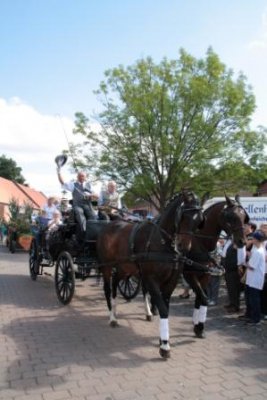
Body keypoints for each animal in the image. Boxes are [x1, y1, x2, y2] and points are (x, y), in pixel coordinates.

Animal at [97, 189, 204, 358]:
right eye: (183, 216)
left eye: (199, 219)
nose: (183, 247)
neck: (161, 241)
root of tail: (110, 224)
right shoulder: (151, 279)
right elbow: (162, 308)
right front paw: (165, 346)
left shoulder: (171, 281)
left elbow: (165, 308)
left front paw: (162, 340)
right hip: (106, 267)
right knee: (108, 289)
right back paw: (112, 318)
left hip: (124, 268)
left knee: (115, 285)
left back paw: (115, 310)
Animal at [183, 195, 250, 340]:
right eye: (231, 216)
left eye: (244, 217)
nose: (242, 242)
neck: (199, 242)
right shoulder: (189, 274)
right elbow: (203, 297)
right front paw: (198, 326)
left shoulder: (206, 274)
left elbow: (201, 299)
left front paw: (198, 327)